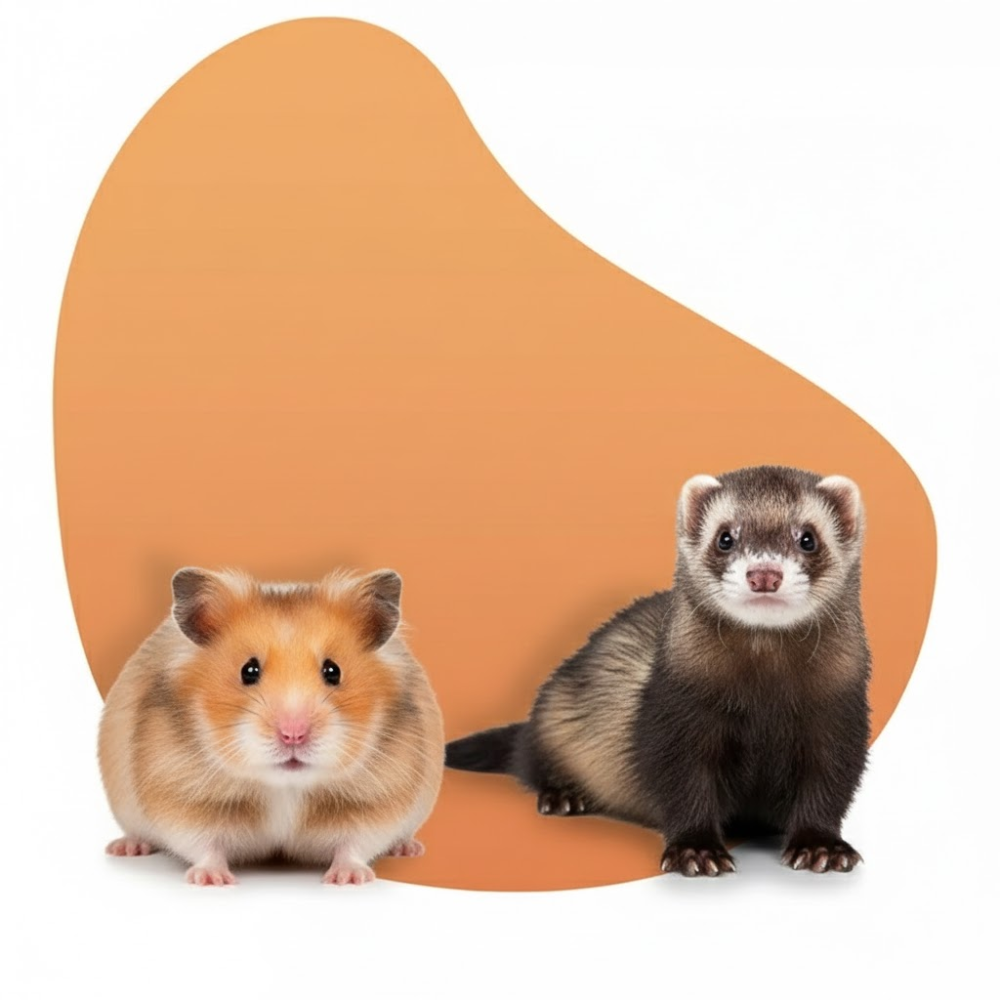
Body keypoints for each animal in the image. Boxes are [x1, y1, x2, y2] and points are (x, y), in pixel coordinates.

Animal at [99, 566, 444, 886]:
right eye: (248, 670)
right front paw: (212, 880)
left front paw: (348, 879)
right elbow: (203, 843)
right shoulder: (179, 793)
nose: (293, 735)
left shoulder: (379, 797)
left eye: (333, 671)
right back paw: (126, 847)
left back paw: (407, 848)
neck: (285, 787)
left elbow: (356, 842)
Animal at [446, 465, 871, 877]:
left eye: (808, 538)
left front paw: (821, 847)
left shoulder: (839, 720)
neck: (765, 701)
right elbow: (684, 785)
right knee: (529, 760)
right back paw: (564, 795)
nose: (764, 574)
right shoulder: (676, 714)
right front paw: (696, 850)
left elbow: (827, 785)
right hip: (554, 721)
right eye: (725, 537)